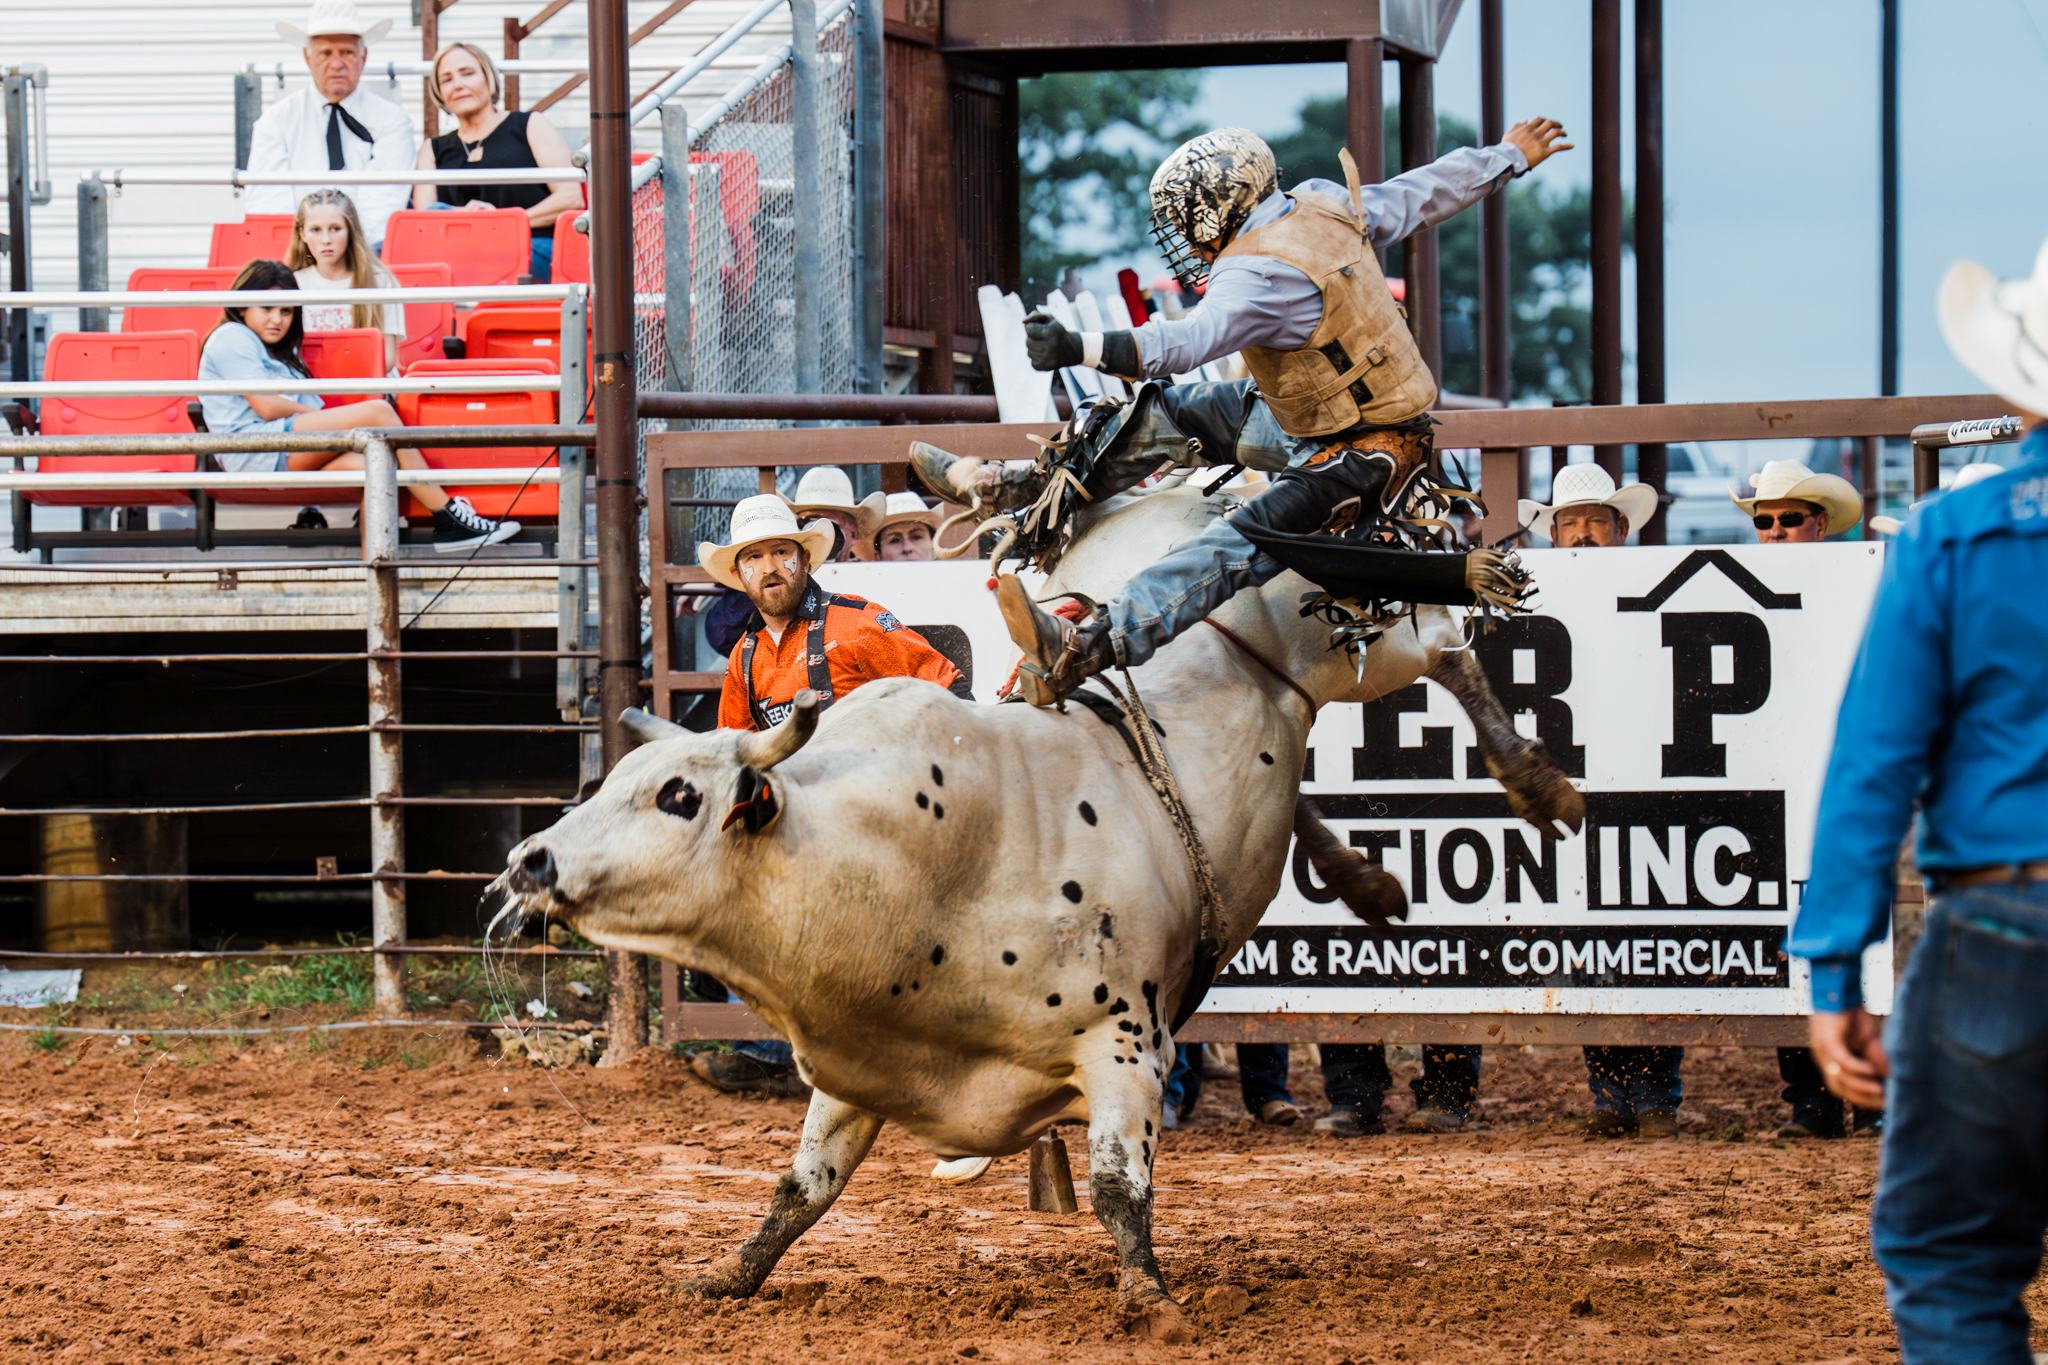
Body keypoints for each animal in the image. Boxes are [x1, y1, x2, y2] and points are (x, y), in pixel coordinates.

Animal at [493, 481, 1582, 1341]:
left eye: (678, 794)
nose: (527, 861)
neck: (899, 861)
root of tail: (1201, 498)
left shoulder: (1126, 1041)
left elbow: (1116, 1184)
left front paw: (1150, 1302)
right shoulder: (856, 1070)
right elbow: (801, 1188)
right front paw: (725, 1274)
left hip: (1336, 634)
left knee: (1445, 645)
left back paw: (1538, 778)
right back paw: (1364, 878)